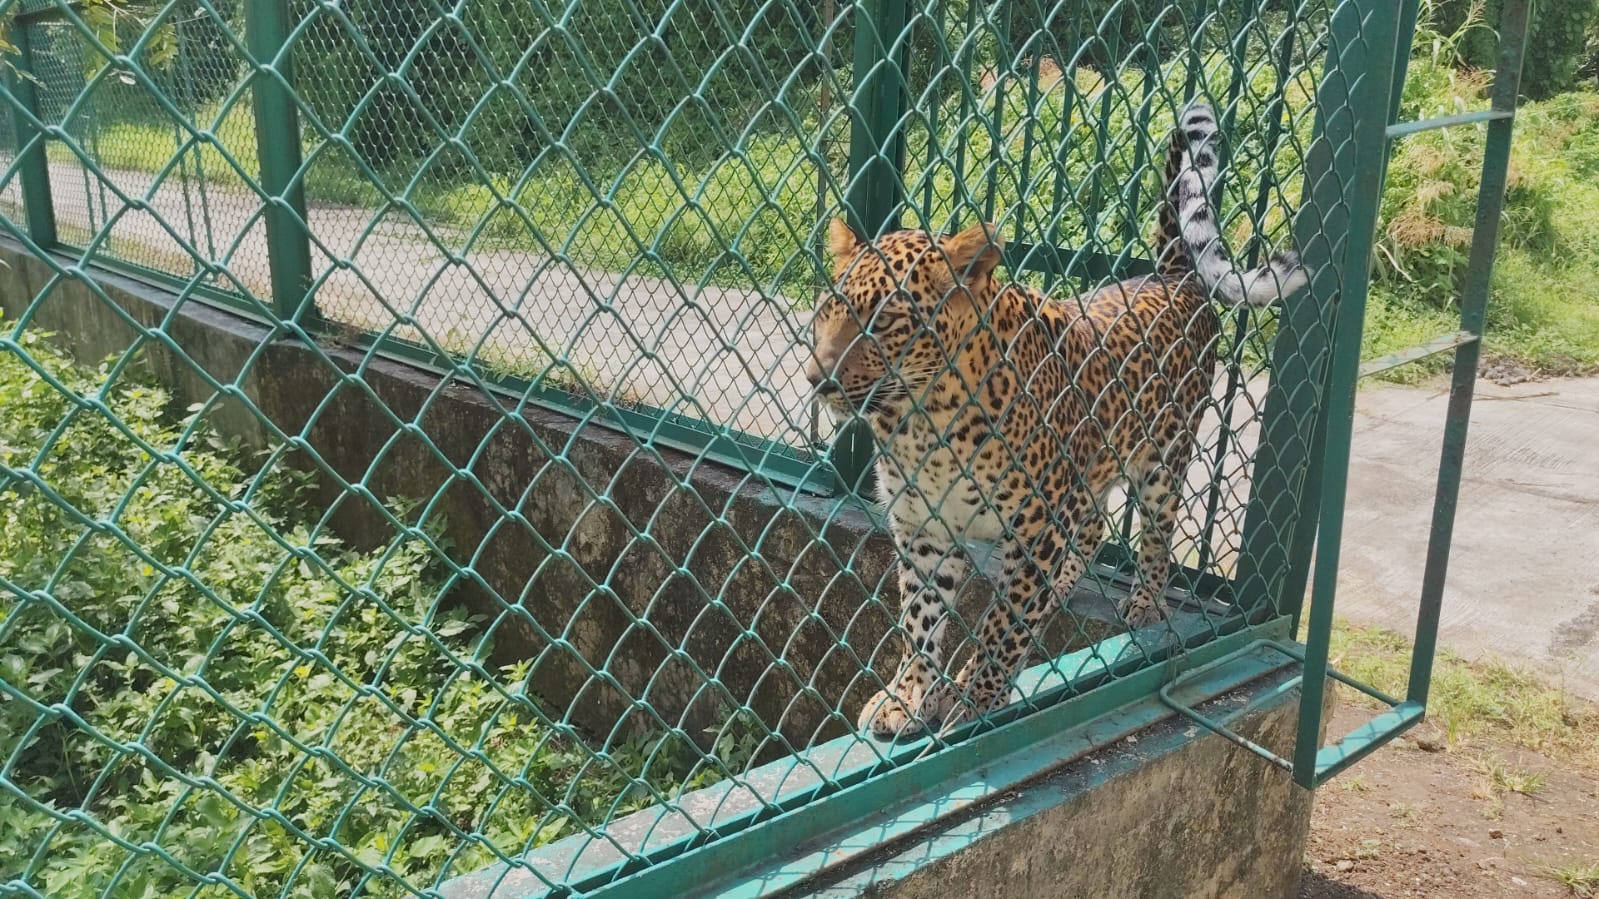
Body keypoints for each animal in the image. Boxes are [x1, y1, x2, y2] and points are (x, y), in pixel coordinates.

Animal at [804, 102, 1309, 739]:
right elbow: (920, 619)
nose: (816, 378)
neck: (924, 420)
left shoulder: (1036, 525)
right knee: (1091, 529)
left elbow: (1003, 625)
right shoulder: (923, 528)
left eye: (888, 320)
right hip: (1091, 471)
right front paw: (908, 695)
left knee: (1156, 535)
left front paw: (976, 698)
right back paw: (1068, 581)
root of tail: (1171, 274)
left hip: (1164, 461)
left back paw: (1145, 601)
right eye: (829, 309)